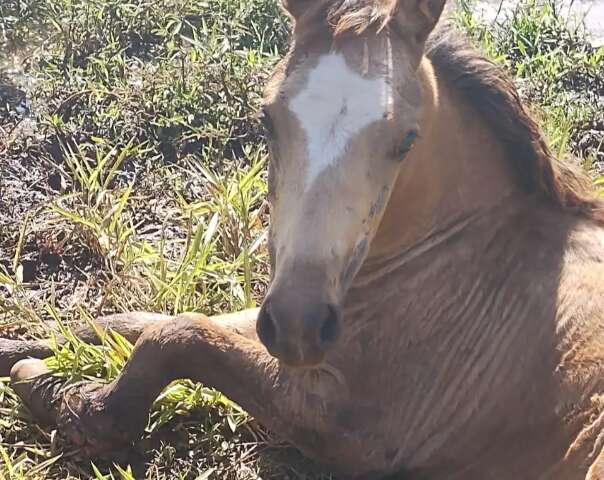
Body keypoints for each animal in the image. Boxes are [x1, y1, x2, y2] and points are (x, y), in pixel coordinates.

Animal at [3, 0, 604, 478]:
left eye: (407, 139)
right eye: (266, 118)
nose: (298, 325)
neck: (460, 252)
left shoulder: (349, 425)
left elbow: (180, 337)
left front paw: (70, 401)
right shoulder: (271, 326)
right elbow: (131, 322)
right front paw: (25, 351)